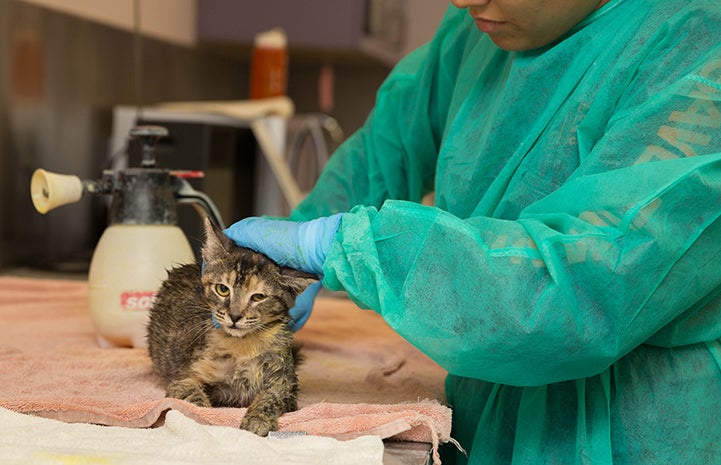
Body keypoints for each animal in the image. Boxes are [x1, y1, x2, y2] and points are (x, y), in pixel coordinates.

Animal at [146, 218, 316, 436]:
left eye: (258, 297)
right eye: (222, 289)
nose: (235, 316)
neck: (241, 346)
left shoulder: (286, 383)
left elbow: (270, 397)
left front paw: (258, 419)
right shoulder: (184, 377)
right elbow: (193, 399)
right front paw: (202, 416)